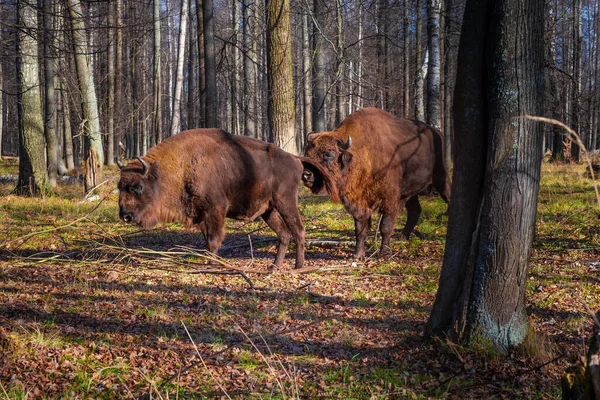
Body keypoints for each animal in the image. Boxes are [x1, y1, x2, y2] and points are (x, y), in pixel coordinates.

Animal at [118, 129, 304, 268]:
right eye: (119, 186)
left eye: (137, 187)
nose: (125, 215)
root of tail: (295, 160)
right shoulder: (200, 214)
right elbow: (208, 240)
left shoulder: (215, 210)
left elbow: (214, 240)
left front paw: (212, 264)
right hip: (268, 210)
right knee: (284, 234)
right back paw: (274, 266)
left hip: (285, 203)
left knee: (298, 230)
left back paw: (298, 266)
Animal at [300, 108, 450, 258]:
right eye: (308, 154)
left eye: (329, 154)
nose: (306, 174)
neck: (362, 154)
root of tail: (437, 133)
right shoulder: (359, 202)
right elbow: (360, 229)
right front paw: (358, 255)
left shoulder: (389, 198)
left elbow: (385, 226)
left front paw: (384, 253)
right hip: (409, 193)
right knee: (415, 210)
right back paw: (402, 238)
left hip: (441, 178)